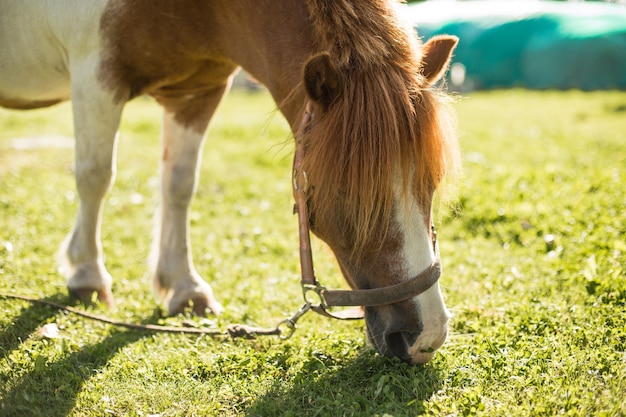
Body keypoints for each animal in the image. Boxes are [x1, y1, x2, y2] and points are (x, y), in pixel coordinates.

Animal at [0, 0, 458, 364]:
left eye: (431, 181)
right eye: (348, 192)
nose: (426, 336)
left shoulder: (197, 92)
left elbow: (179, 184)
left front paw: (184, 287)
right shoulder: (96, 77)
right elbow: (95, 175)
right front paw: (88, 275)